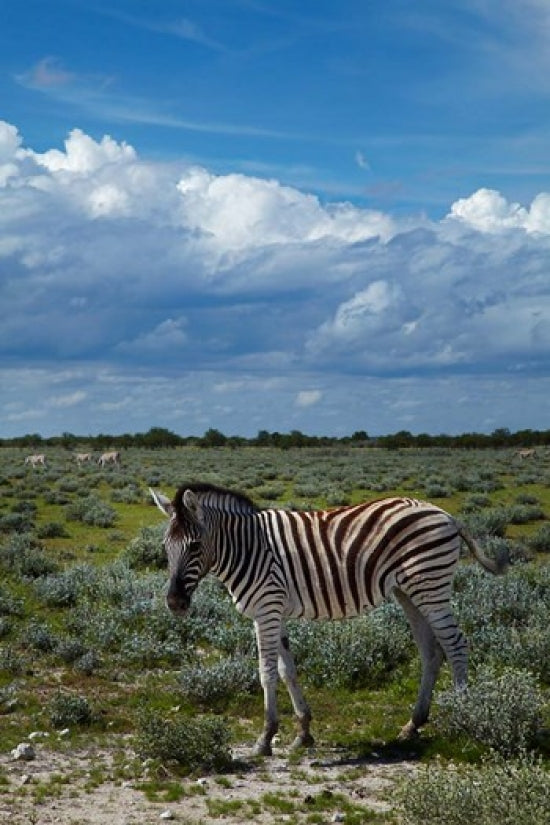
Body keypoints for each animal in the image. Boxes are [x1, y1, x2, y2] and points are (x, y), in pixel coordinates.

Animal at [150, 483, 504, 756]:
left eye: (195, 545)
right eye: (166, 546)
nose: (175, 603)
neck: (245, 548)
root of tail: (446, 514)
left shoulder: (266, 609)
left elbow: (267, 673)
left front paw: (265, 738)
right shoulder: (275, 610)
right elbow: (287, 670)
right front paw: (303, 733)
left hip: (430, 586)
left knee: (456, 645)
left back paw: (462, 719)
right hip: (409, 592)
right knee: (432, 652)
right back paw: (412, 725)